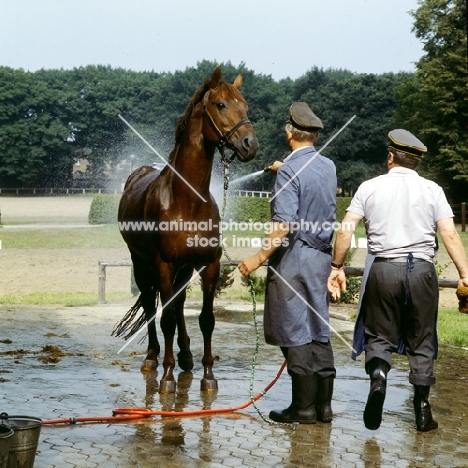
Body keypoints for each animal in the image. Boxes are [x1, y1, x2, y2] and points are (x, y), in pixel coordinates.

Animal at [114, 66, 260, 394]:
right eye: (221, 104)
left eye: (246, 106)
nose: (249, 144)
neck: (187, 201)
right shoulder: (164, 264)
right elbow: (165, 317)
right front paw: (167, 377)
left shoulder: (208, 264)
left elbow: (206, 319)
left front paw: (208, 375)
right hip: (141, 262)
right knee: (149, 304)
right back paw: (153, 358)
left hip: (184, 268)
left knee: (178, 305)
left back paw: (186, 356)